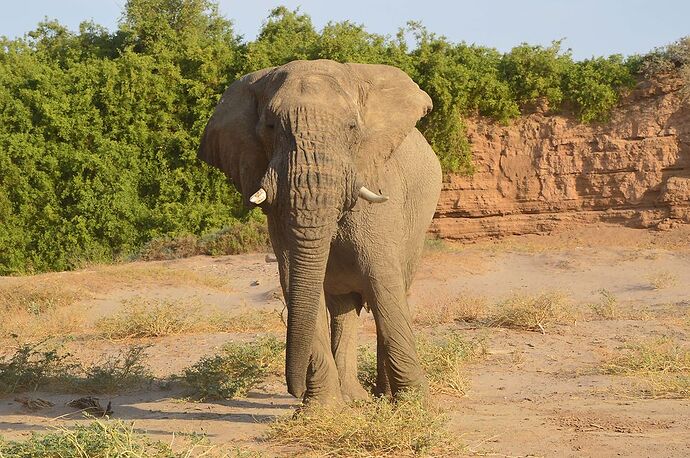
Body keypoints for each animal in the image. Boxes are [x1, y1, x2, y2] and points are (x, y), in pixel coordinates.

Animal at [198, 58, 440, 404]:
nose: (294, 390)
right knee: (343, 308)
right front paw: (320, 409)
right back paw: (354, 398)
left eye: (352, 128)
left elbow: (383, 283)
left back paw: (380, 397)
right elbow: (293, 279)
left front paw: (414, 405)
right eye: (270, 127)